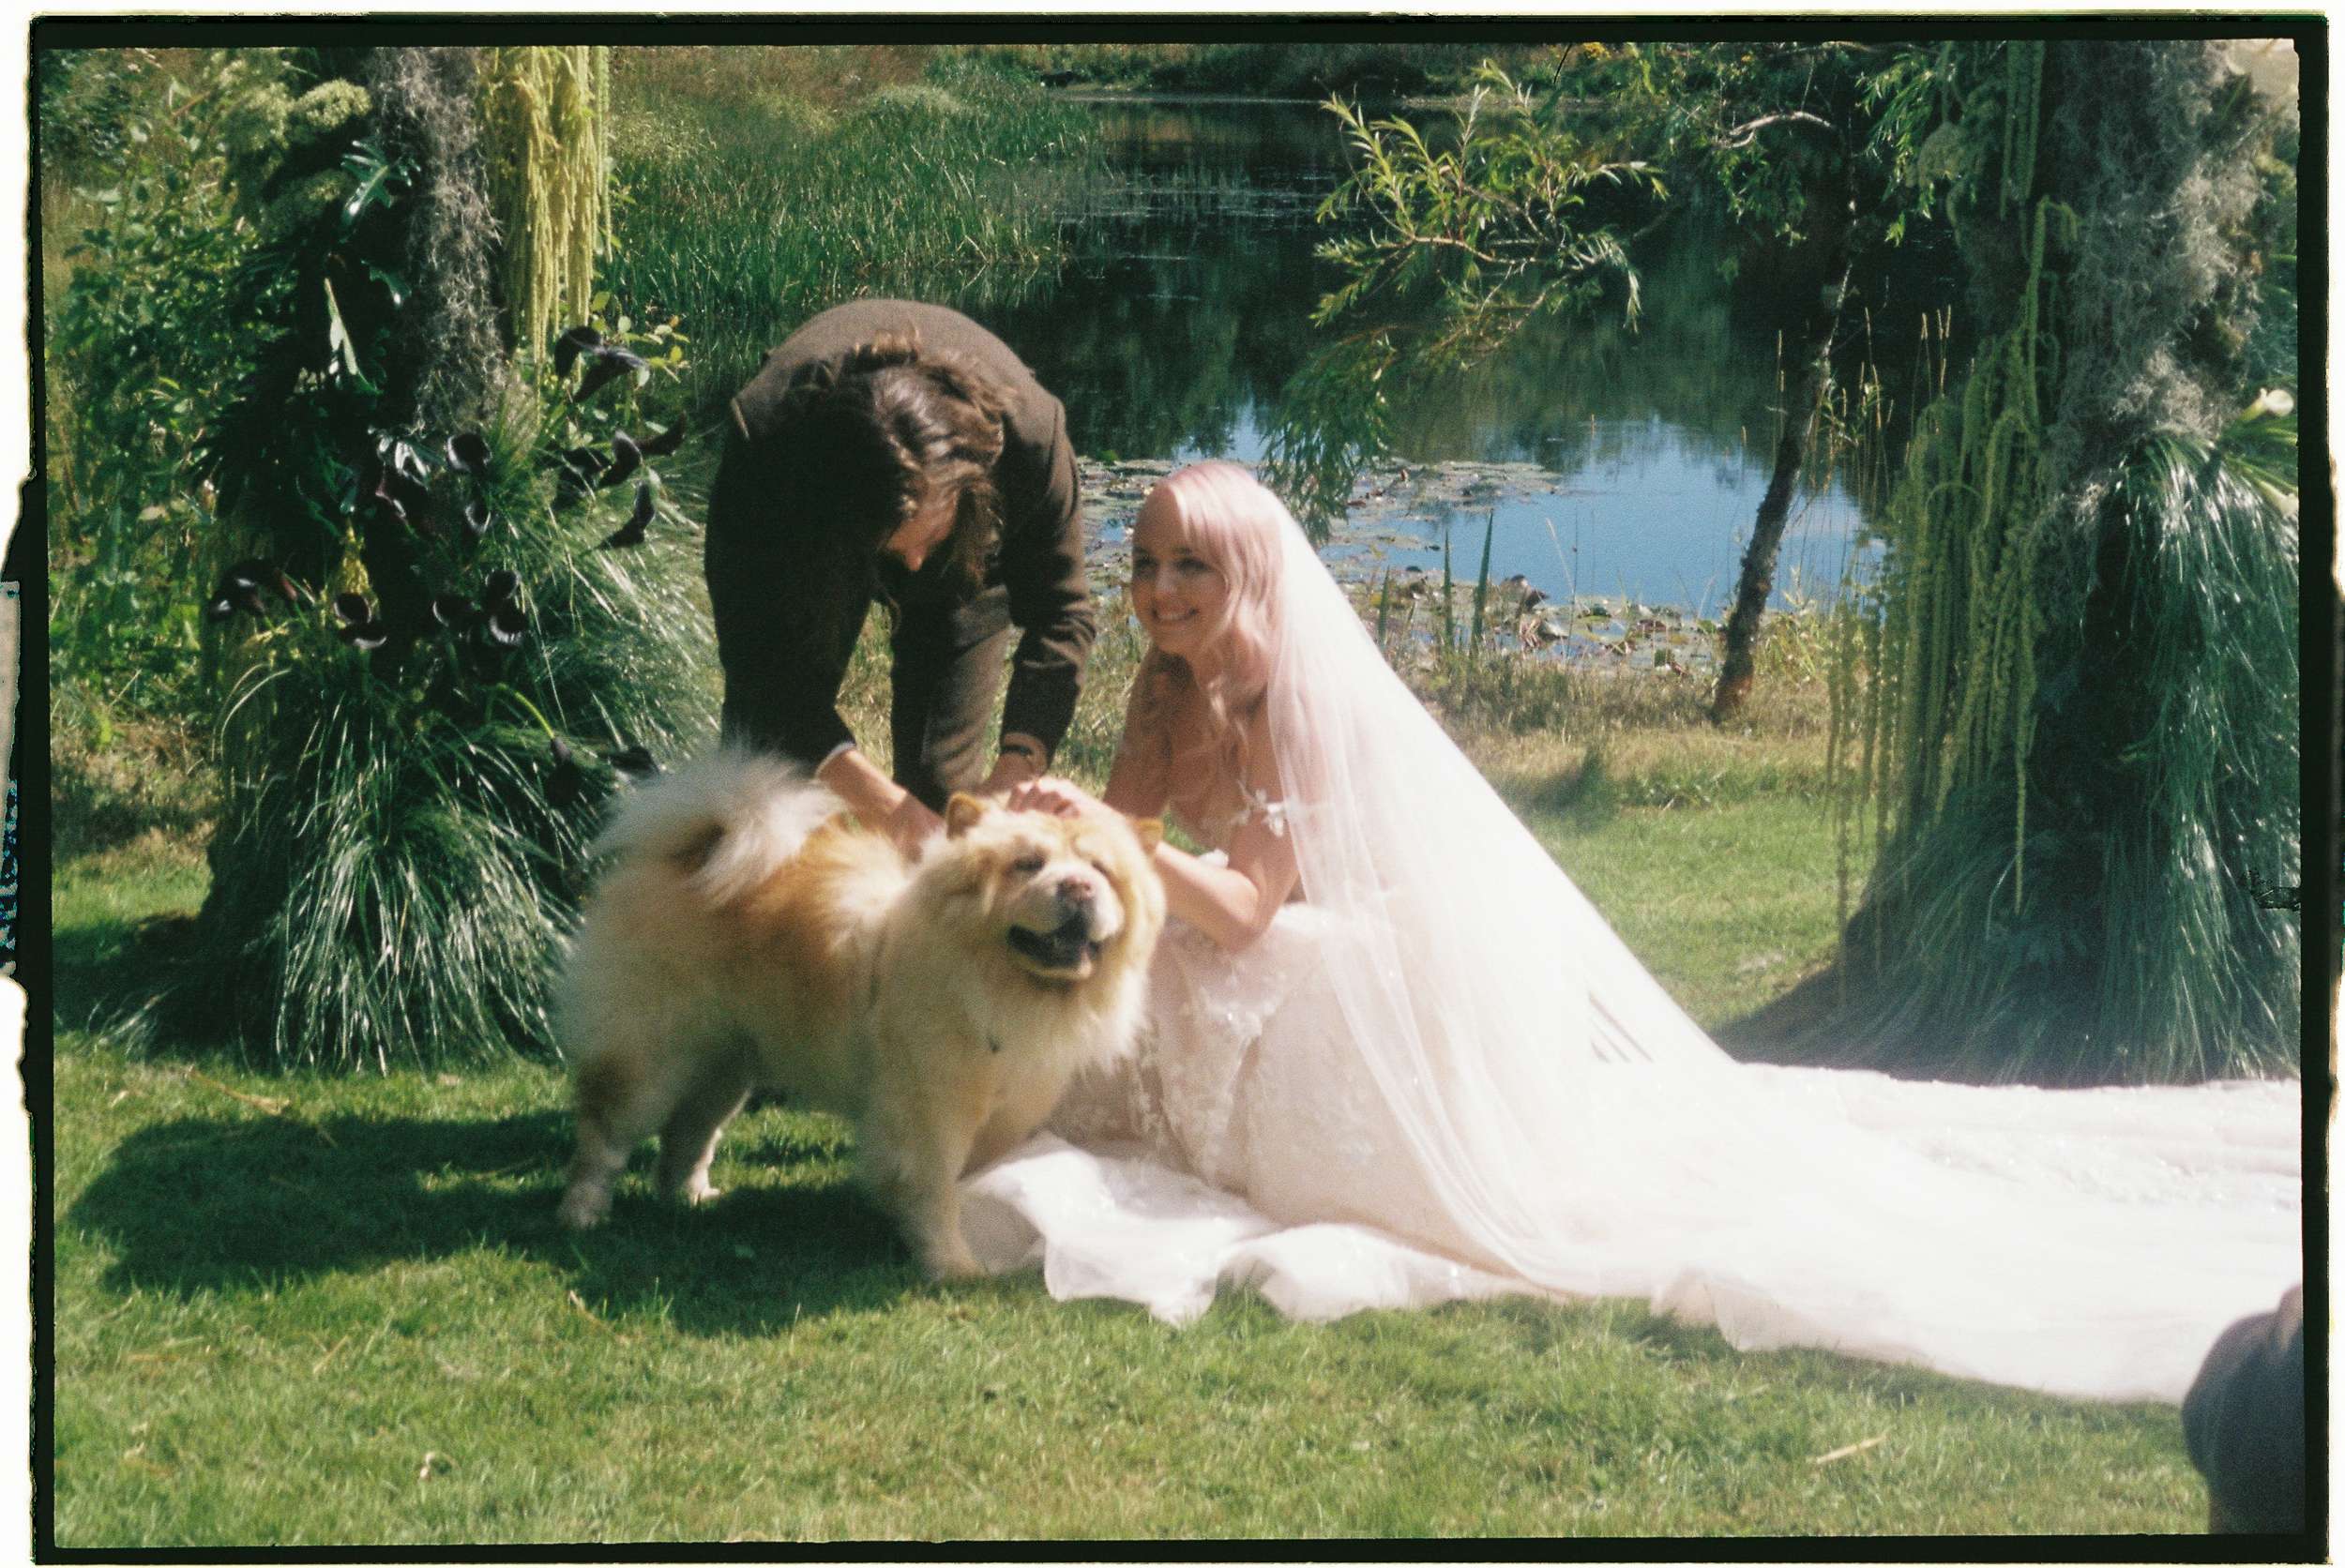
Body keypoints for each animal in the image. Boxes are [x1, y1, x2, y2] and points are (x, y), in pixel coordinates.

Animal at [553, 751, 1164, 1278]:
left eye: (1101, 871)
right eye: (1028, 865)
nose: (1078, 886)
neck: (1006, 988)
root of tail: (694, 851)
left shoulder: (1008, 1113)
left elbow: (969, 1181)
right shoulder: (930, 1114)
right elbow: (936, 1191)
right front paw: (952, 1267)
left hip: (726, 1064)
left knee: (690, 1133)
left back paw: (692, 1199)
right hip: (650, 1055)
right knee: (604, 1134)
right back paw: (582, 1215)